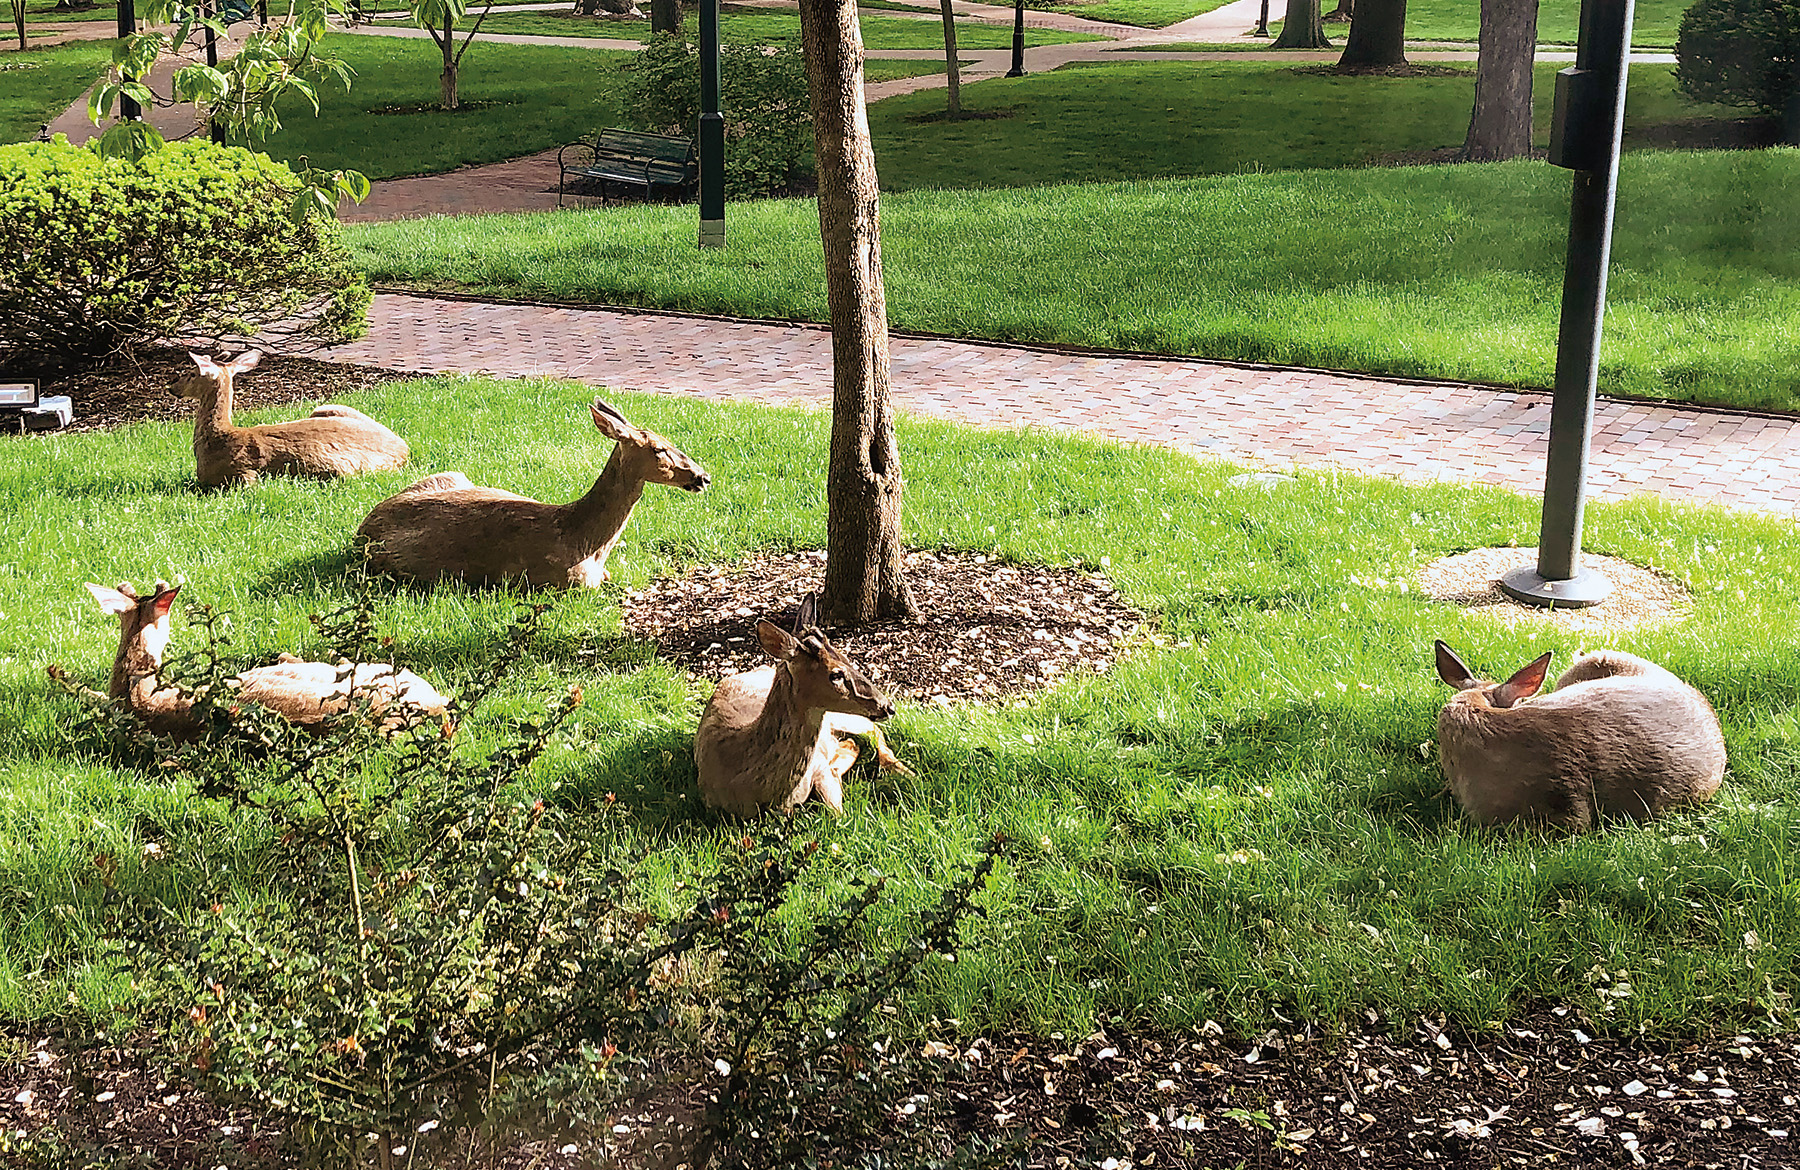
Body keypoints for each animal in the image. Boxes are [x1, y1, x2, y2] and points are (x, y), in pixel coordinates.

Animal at [175, 350, 409, 488]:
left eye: (191, 374)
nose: (172, 386)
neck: (219, 437)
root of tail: (405, 449)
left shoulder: (243, 474)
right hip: (326, 408)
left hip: (344, 470)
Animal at [695, 595, 912, 818]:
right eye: (836, 674)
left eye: (847, 658)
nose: (888, 706)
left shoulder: (818, 765)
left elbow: (836, 813)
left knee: (872, 731)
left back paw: (906, 773)